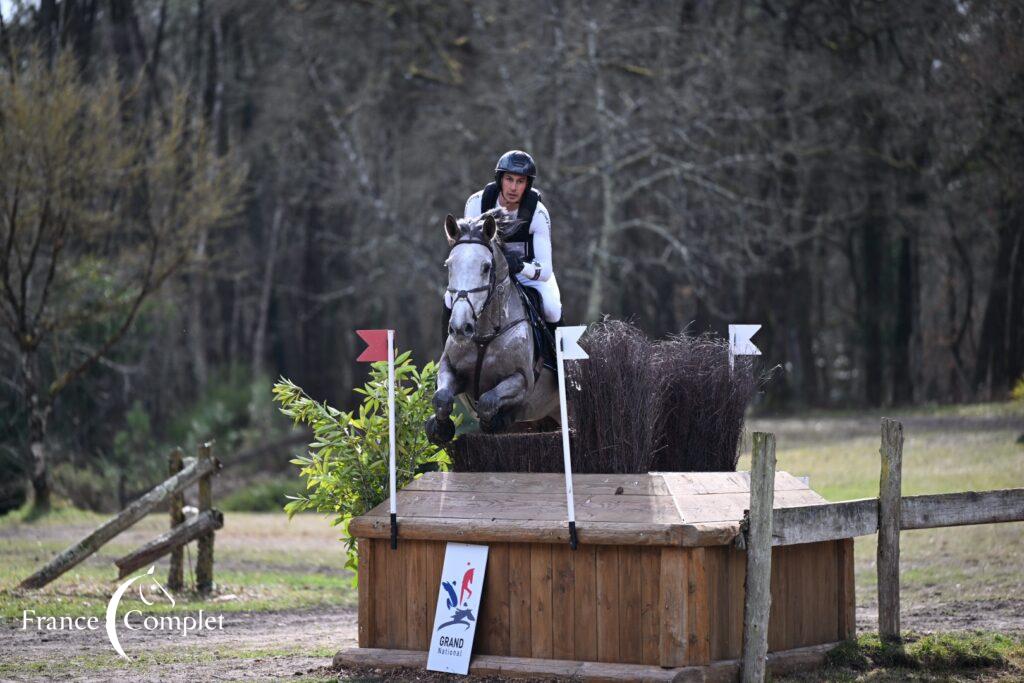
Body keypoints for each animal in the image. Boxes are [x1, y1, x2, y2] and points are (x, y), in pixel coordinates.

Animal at [421, 208, 557, 446]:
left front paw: (495, 422)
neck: (483, 334)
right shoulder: (450, 368)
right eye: (449, 265)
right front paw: (439, 429)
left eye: (486, 267)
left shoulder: (522, 380)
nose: (460, 328)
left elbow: (488, 401)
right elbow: (442, 397)